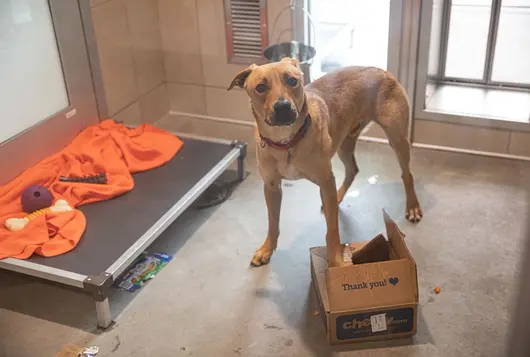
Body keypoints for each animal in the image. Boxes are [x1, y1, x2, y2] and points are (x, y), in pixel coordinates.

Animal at [227, 57, 420, 268]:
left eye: (292, 81)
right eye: (261, 87)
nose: (283, 106)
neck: (287, 142)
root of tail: (383, 72)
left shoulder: (325, 181)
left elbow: (332, 229)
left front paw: (335, 258)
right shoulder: (271, 187)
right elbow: (272, 222)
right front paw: (266, 249)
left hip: (397, 139)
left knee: (407, 174)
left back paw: (412, 207)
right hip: (344, 144)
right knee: (352, 170)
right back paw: (338, 197)